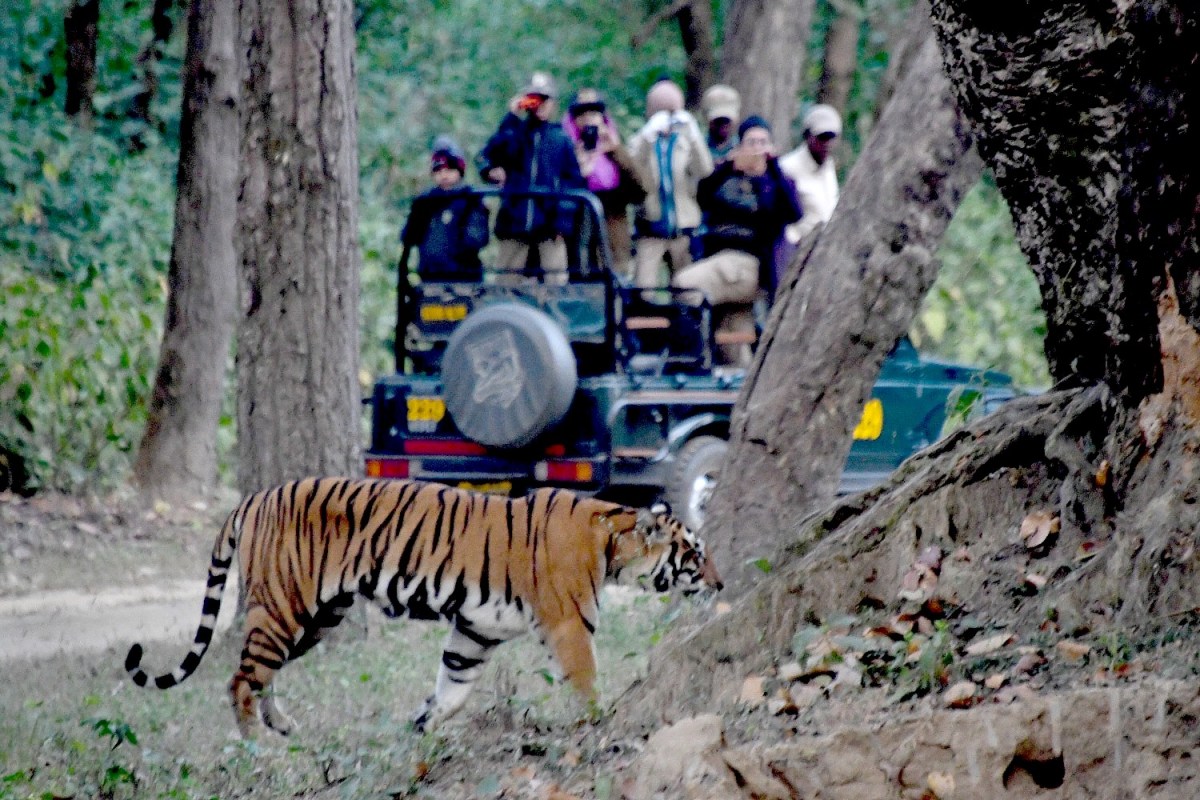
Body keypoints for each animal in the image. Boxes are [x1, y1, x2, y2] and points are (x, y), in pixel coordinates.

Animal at [124, 477, 722, 738]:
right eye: (694, 553)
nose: (721, 583)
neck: (612, 540)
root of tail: (253, 496)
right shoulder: (569, 625)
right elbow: (588, 681)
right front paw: (600, 722)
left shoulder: (475, 630)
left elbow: (453, 687)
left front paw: (421, 723)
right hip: (284, 608)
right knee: (240, 681)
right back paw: (256, 747)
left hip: (314, 620)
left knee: (257, 673)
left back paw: (283, 727)